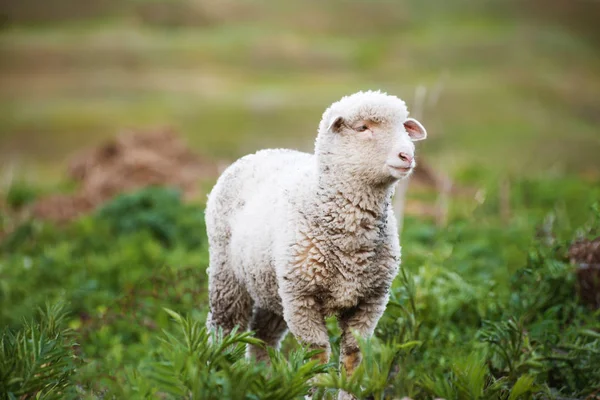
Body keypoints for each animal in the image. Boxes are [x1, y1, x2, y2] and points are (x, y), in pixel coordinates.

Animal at [205, 90, 426, 384]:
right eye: (362, 128)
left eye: (404, 127)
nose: (407, 156)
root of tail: (262, 152)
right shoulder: (302, 299)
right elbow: (317, 355)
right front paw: (315, 387)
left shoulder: (370, 301)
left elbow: (353, 357)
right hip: (228, 275)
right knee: (224, 329)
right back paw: (219, 373)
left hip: (271, 286)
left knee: (264, 337)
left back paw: (263, 378)